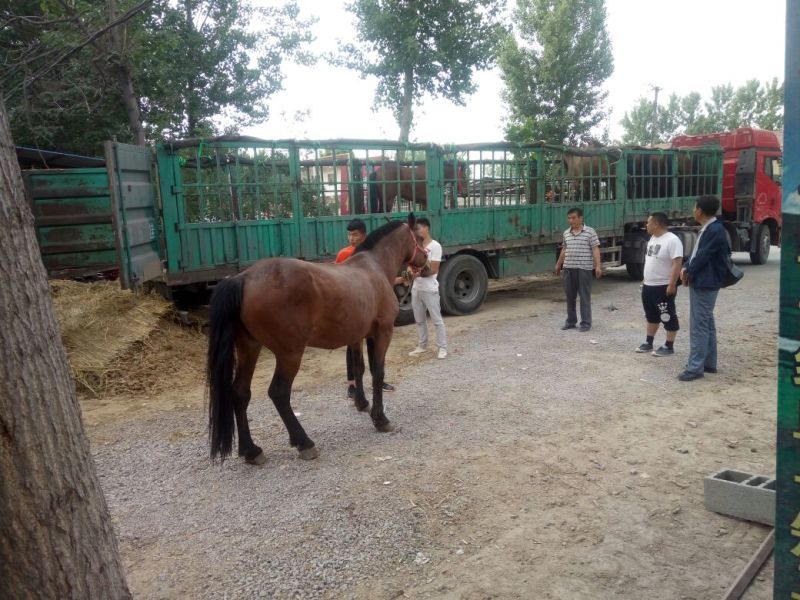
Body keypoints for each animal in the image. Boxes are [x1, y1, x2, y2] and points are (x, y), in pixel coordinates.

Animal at [207, 214, 430, 464]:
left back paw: (251, 450)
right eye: (419, 237)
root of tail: (243, 278)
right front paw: (380, 419)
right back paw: (304, 442)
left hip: (249, 348)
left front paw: (362, 403)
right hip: (290, 353)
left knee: (240, 393)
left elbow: (359, 368)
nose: (426, 262)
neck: (374, 267)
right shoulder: (382, 332)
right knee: (279, 393)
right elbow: (377, 372)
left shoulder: (357, 336)